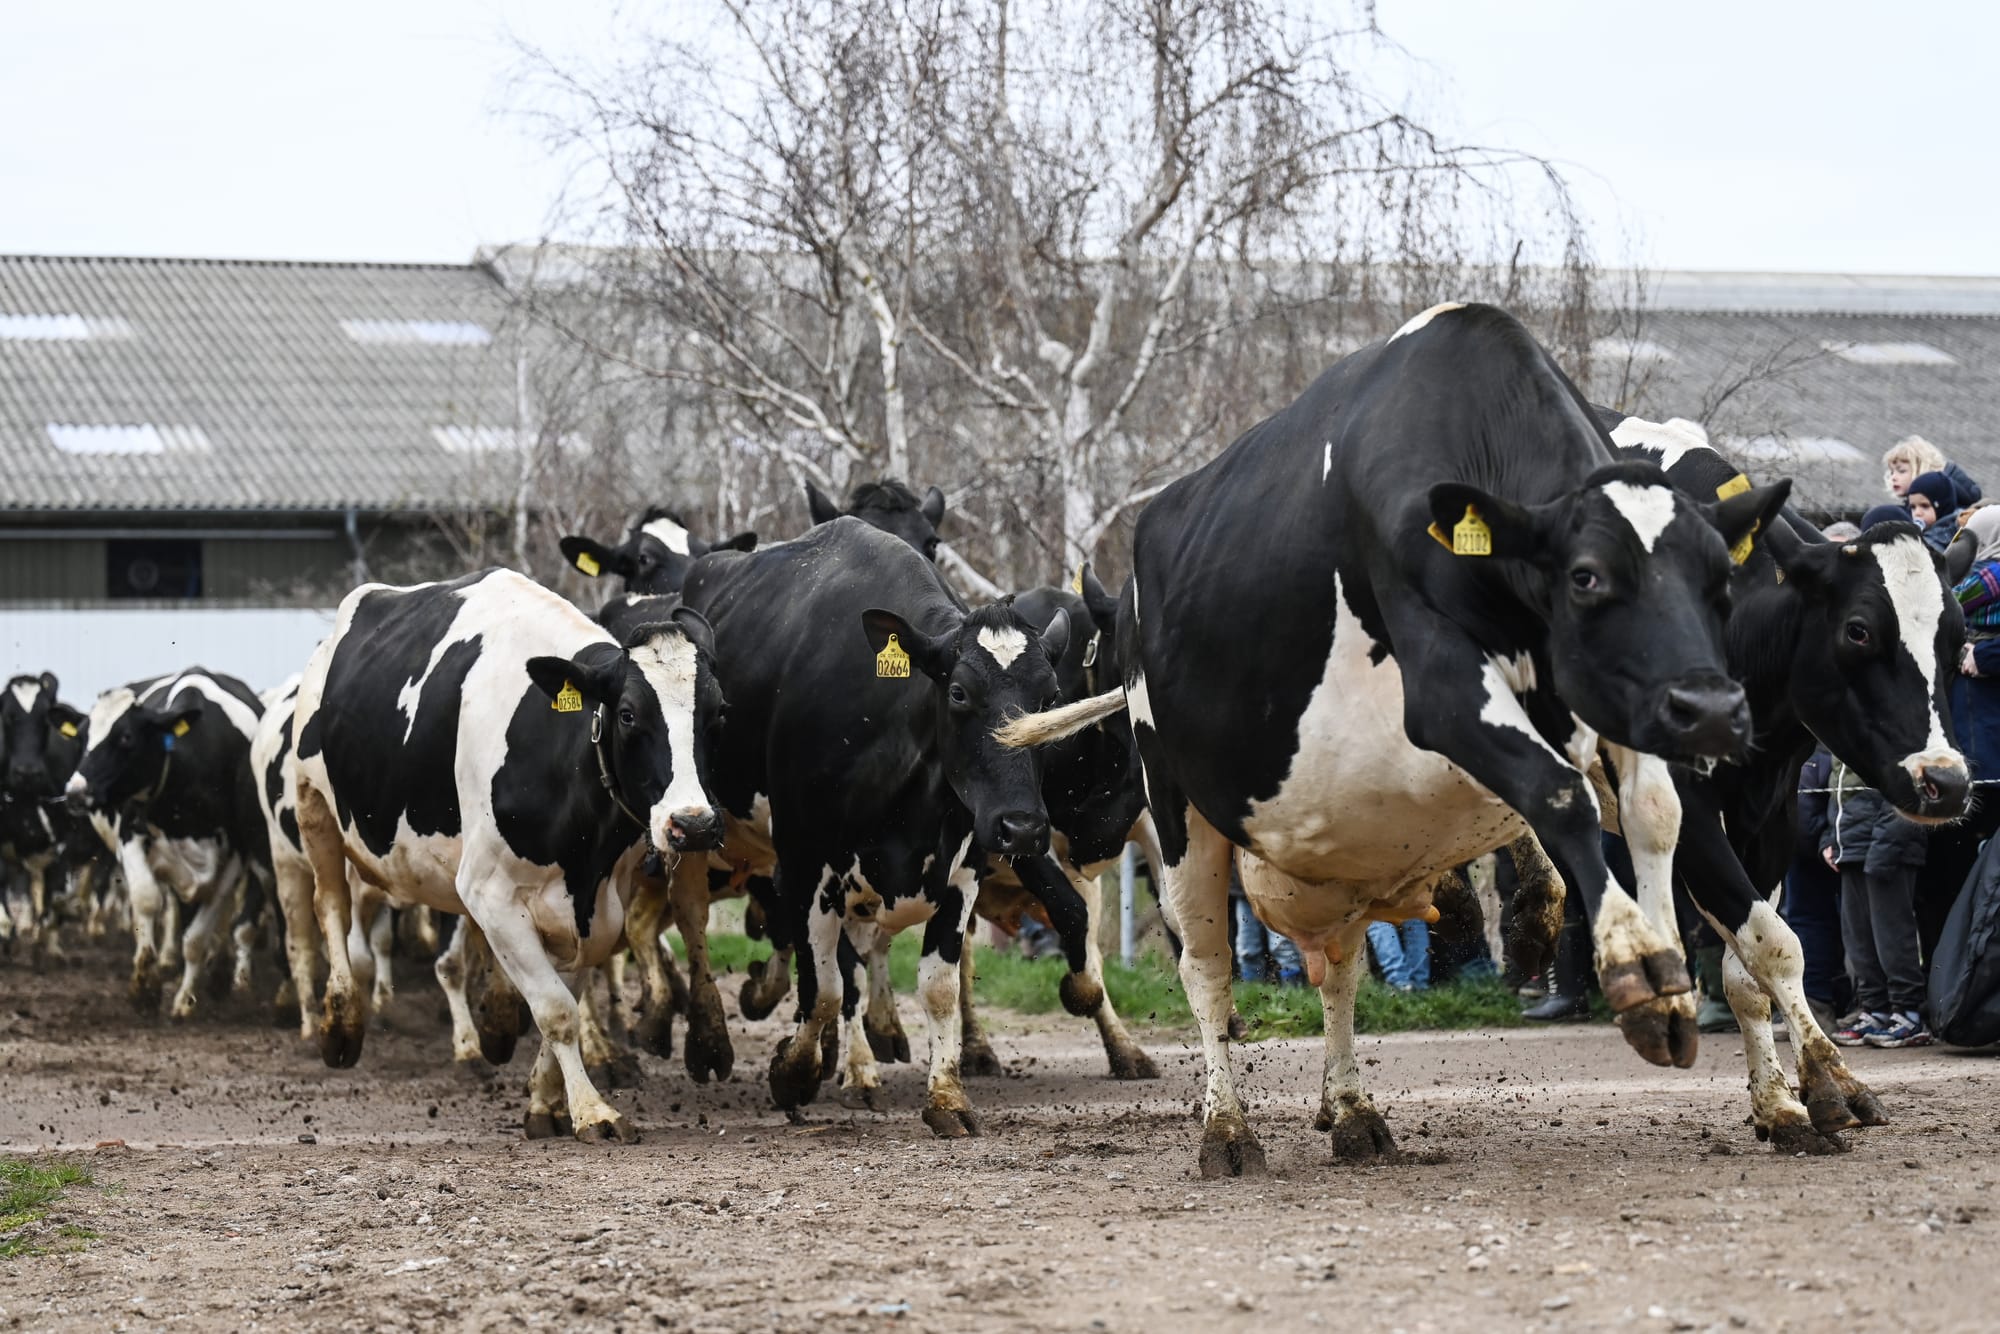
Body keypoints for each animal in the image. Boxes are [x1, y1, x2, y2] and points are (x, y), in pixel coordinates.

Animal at [63, 669, 273, 1017]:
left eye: (126, 737)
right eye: (81, 738)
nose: (75, 791)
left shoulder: (235, 854)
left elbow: (198, 936)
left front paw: (185, 1000)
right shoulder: (131, 835)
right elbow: (148, 899)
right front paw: (143, 986)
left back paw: (219, 971)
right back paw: (169, 962)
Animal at [291, 567, 724, 1142]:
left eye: (718, 713)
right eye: (628, 715)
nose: (692, 824)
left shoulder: (601, 905)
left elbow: (564, 994)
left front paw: (546, 1101)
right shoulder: (488, 890)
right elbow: (556, 1008)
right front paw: (593, 1110)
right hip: (312, 805)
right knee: (333, 908)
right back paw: (341, 1022)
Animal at [678, 516, 1085, 1136]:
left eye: (1052, 696)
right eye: (959, 692)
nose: (1021, 828)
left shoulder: (962, 865)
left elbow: (938, 987)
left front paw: (947, 1098)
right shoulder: (807, 862)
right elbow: (826, 986)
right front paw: (794, 1073)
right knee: (699, 927)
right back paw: (719, 1042)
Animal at [999, 302, 1788, 1175]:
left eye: (1720, 580)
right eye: (1586, 575)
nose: (1711, 708)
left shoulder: (1616, 713)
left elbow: (1663, 822)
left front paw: (1687, 992)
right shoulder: (1443, 693)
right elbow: (1560, 792)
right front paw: (1634, 963)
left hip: (1342, 850)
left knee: (1338, 971)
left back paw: (1353, 1110)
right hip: (1177, 811)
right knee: (1205, 968)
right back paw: (1227, 1131)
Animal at [1605, 411, 1970, 1152]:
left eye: (1959, 640)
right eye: (1858, 630)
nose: (1945, 781)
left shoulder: (1771, 815)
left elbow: (1746, 968)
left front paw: (1779, 1104)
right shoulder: (1687, 811)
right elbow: (1778, 944)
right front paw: (1829, 1082)